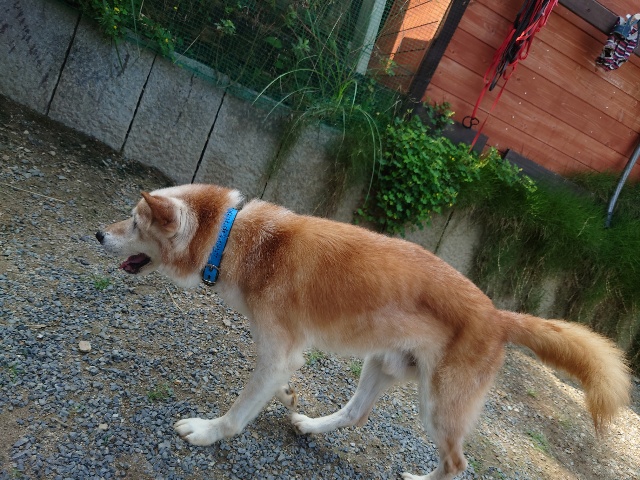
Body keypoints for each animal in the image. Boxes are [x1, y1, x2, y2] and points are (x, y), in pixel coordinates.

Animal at [96, 183, 630, 480]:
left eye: (136, 221)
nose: (98, 233)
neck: (235, 241)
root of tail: (501, 316)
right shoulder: (282, 360)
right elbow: (274, 391)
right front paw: (286, 402)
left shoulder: (278, 353)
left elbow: (236, 414)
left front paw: (206, 434)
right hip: (381, 365)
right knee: (355, 415)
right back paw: (309, 426)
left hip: (439, 406)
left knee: (457, 465)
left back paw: (418, 479)